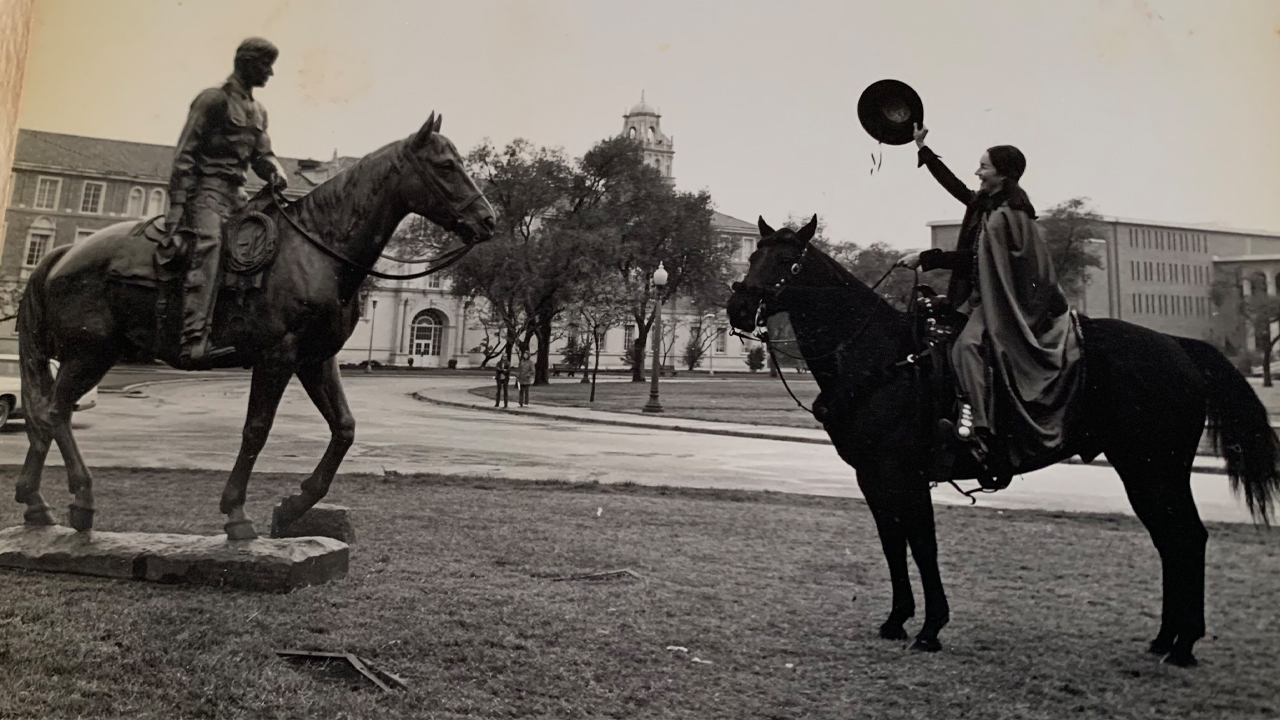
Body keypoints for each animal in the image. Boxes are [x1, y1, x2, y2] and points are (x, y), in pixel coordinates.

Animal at [732, 215, 1280, 666]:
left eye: (787, 260)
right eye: (754, 254)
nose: (738, 307)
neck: (879, 356)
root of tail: (1178, 347)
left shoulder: (905, 473)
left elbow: (922, 544)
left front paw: (930, 629)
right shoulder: (873, 477)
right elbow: (893, 543)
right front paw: (896, 620)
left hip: (1155, 469)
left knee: (1187, 538)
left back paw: (1183, 646)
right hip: (1142, 471)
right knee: (1172, 541)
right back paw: (1166, 639)